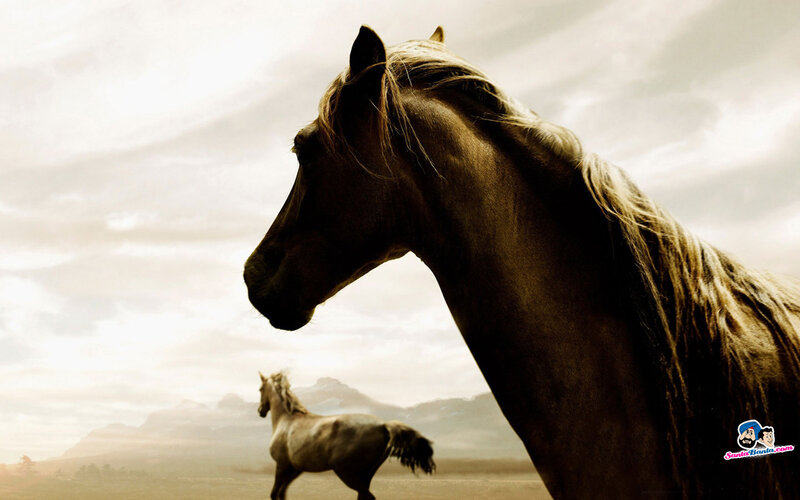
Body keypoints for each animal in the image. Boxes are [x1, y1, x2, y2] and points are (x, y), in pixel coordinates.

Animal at [257, 371, 435, 500]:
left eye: (260, 389)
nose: (260, 411)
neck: (286, 420)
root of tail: (383, 425)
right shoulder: (295, 469)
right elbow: (282, 494)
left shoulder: (282, 465)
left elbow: (274, 494)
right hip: (365, 475)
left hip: (346, 473)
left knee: (368, 497)